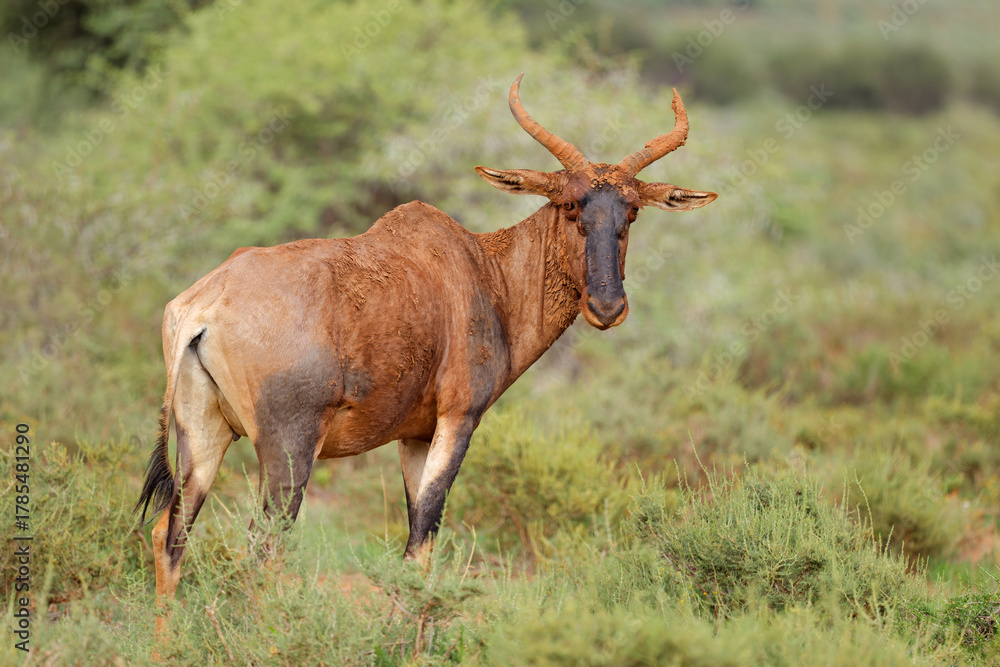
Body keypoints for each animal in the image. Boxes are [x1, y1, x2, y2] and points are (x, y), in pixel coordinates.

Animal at [135, 74, 717, 605]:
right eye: (571, 204)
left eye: (632, 209)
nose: (607, 307)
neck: (481, 269)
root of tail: (203, 306)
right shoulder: (458, 417)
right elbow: (422, 544)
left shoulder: (414, 435)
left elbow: (418, 541)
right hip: (288, 449)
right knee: (263, 551)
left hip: (203, 436)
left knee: (170, 535)